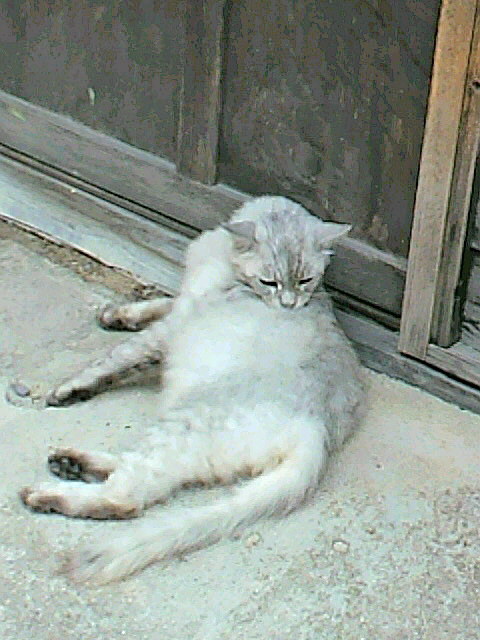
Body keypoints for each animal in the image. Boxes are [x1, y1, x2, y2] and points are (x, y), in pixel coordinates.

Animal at [20, 195, 364, 584]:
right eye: (271, 281)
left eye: (306, 280)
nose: (289, 304)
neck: (223, 257)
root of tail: (317, 429)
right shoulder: (184, 300)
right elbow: (160, 300)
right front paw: (118, 314)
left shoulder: (171, 327)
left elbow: (118, 358)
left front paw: (70, 387)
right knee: (134, 474)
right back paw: (70, 463)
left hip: (183, 421)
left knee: (127, 496)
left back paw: (46, 493)